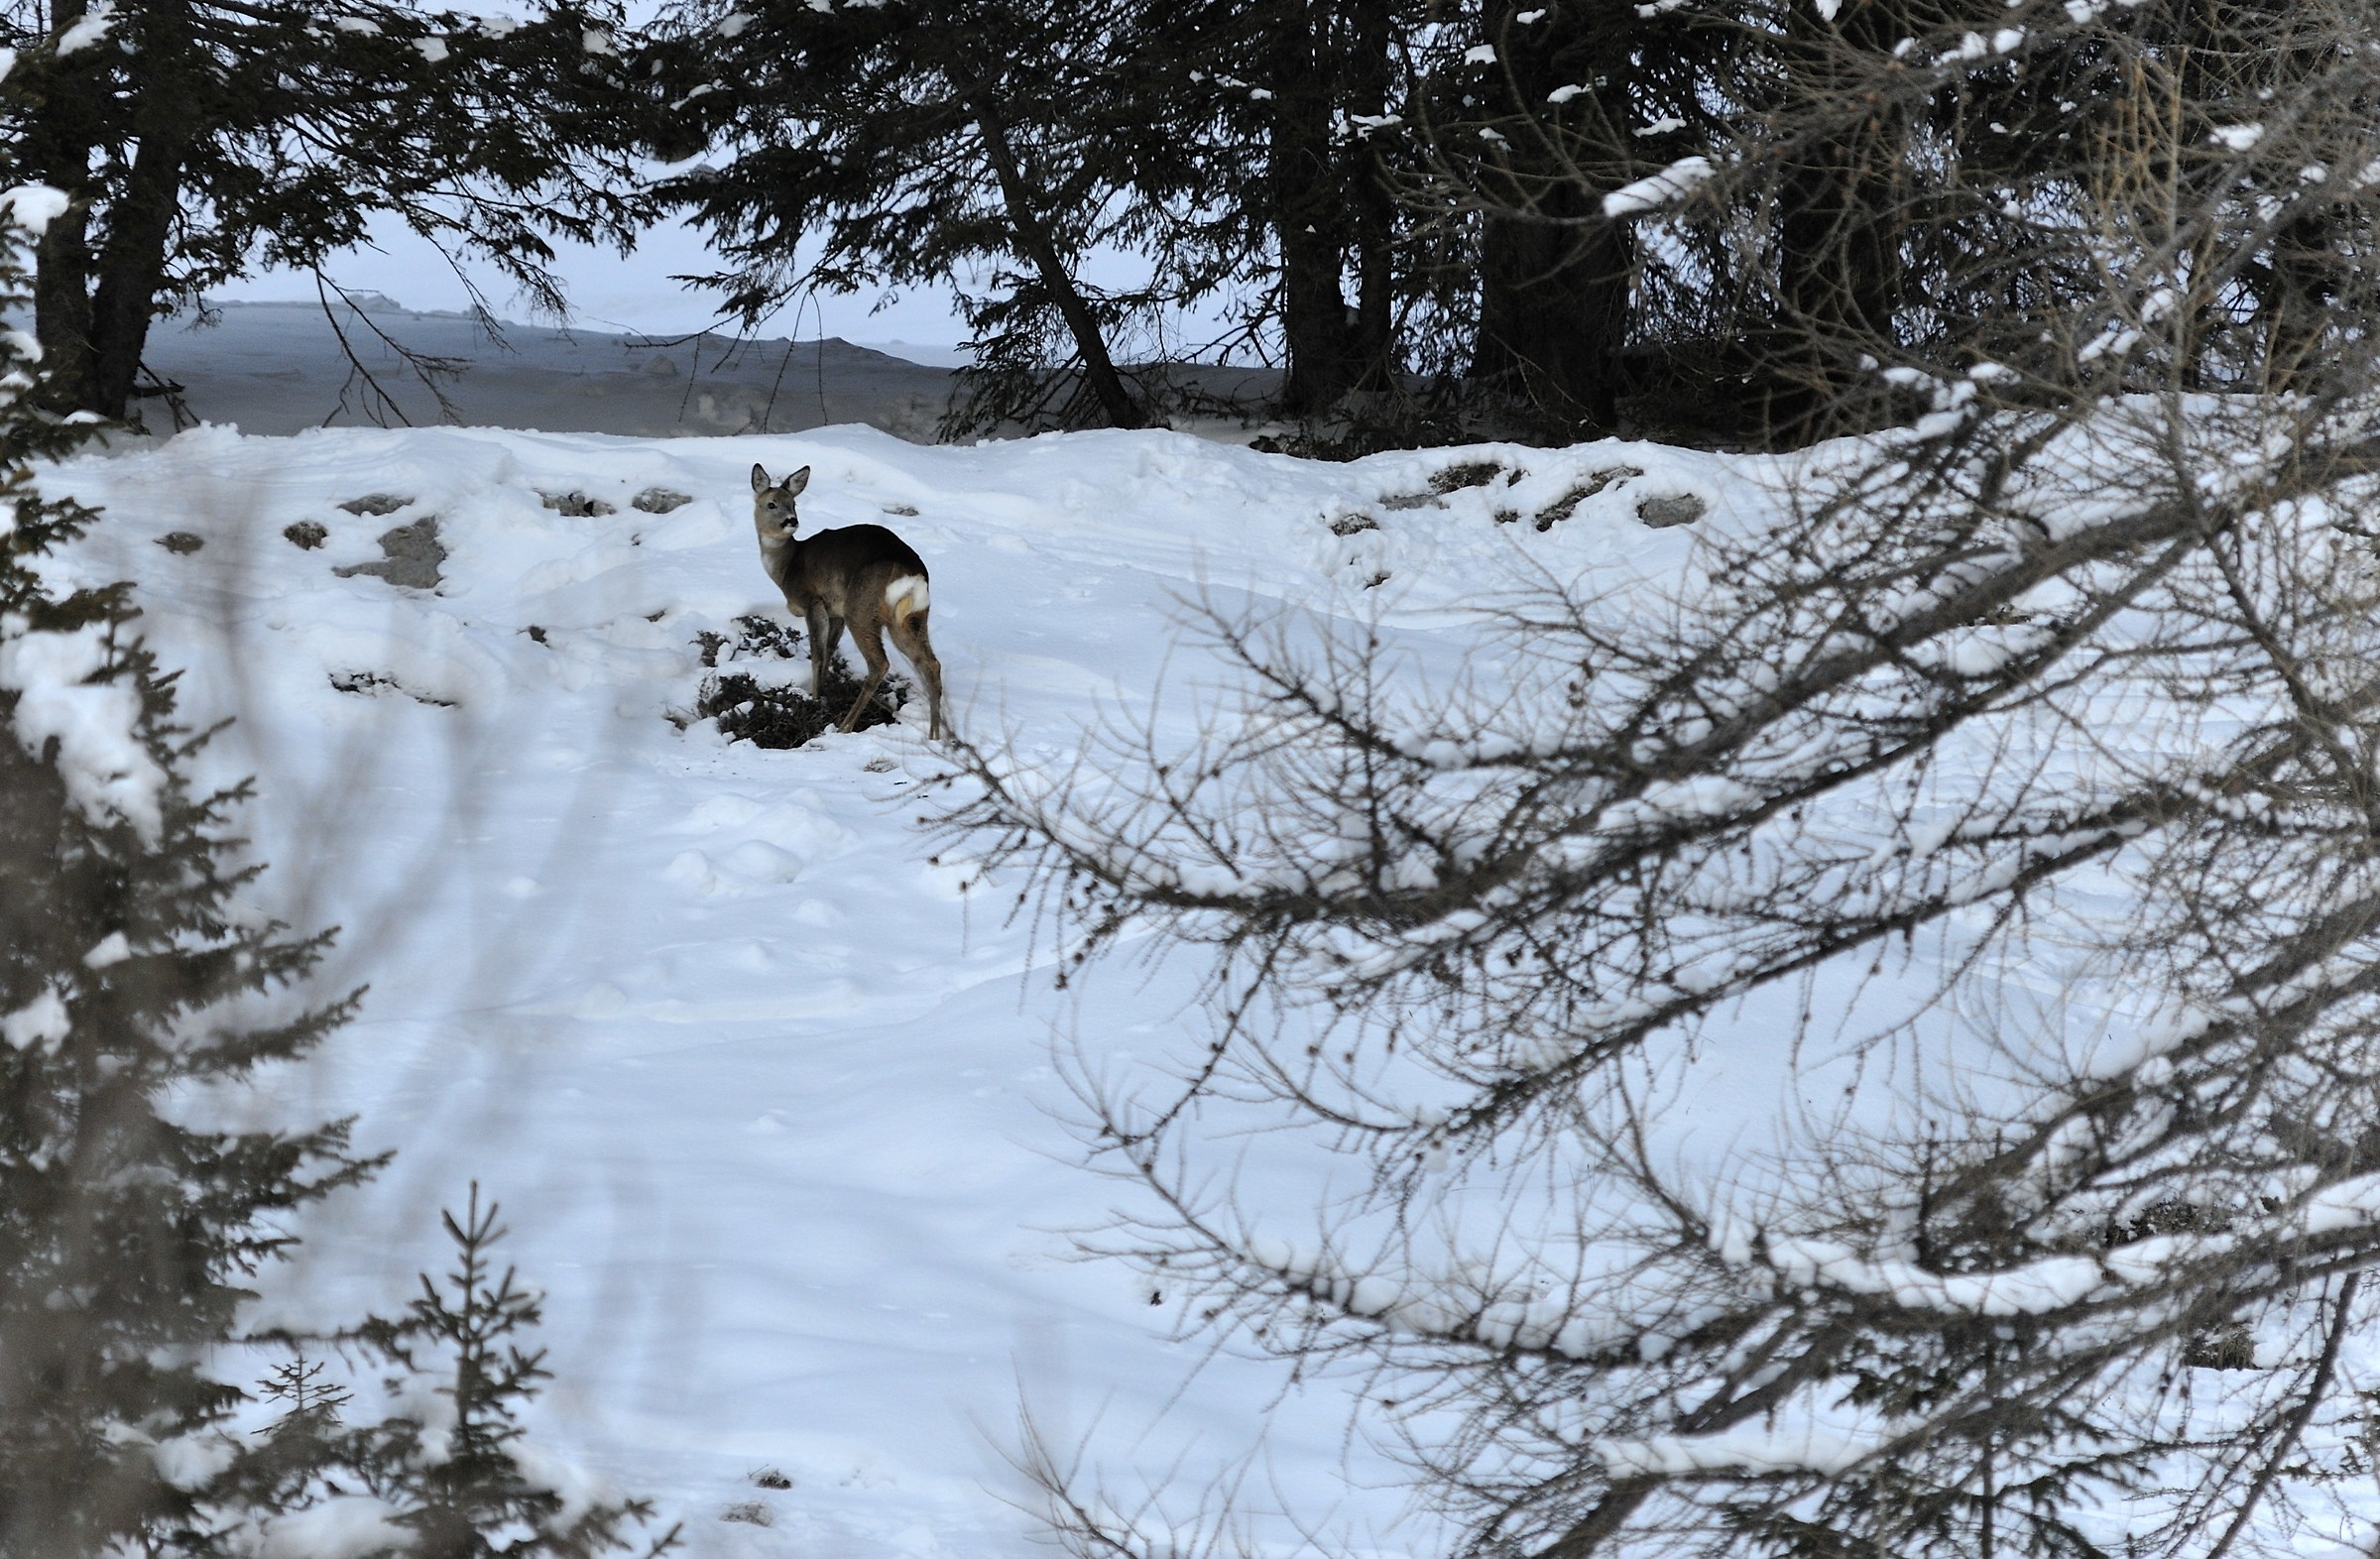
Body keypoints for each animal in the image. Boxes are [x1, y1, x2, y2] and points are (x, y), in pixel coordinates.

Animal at [749, 464, 946, 741]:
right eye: (772, 504)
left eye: (793, 503)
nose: (791, 521)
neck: (787, 567)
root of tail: (911, 573)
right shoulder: (836, 612)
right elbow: (830, 649)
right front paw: (824, 690)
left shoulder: (814, 601)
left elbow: (818, 653)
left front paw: (815, 698)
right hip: (911, 617)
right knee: (931, 664)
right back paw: (934, 734)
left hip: (861, 610)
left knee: (879, 664)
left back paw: (845, 726)